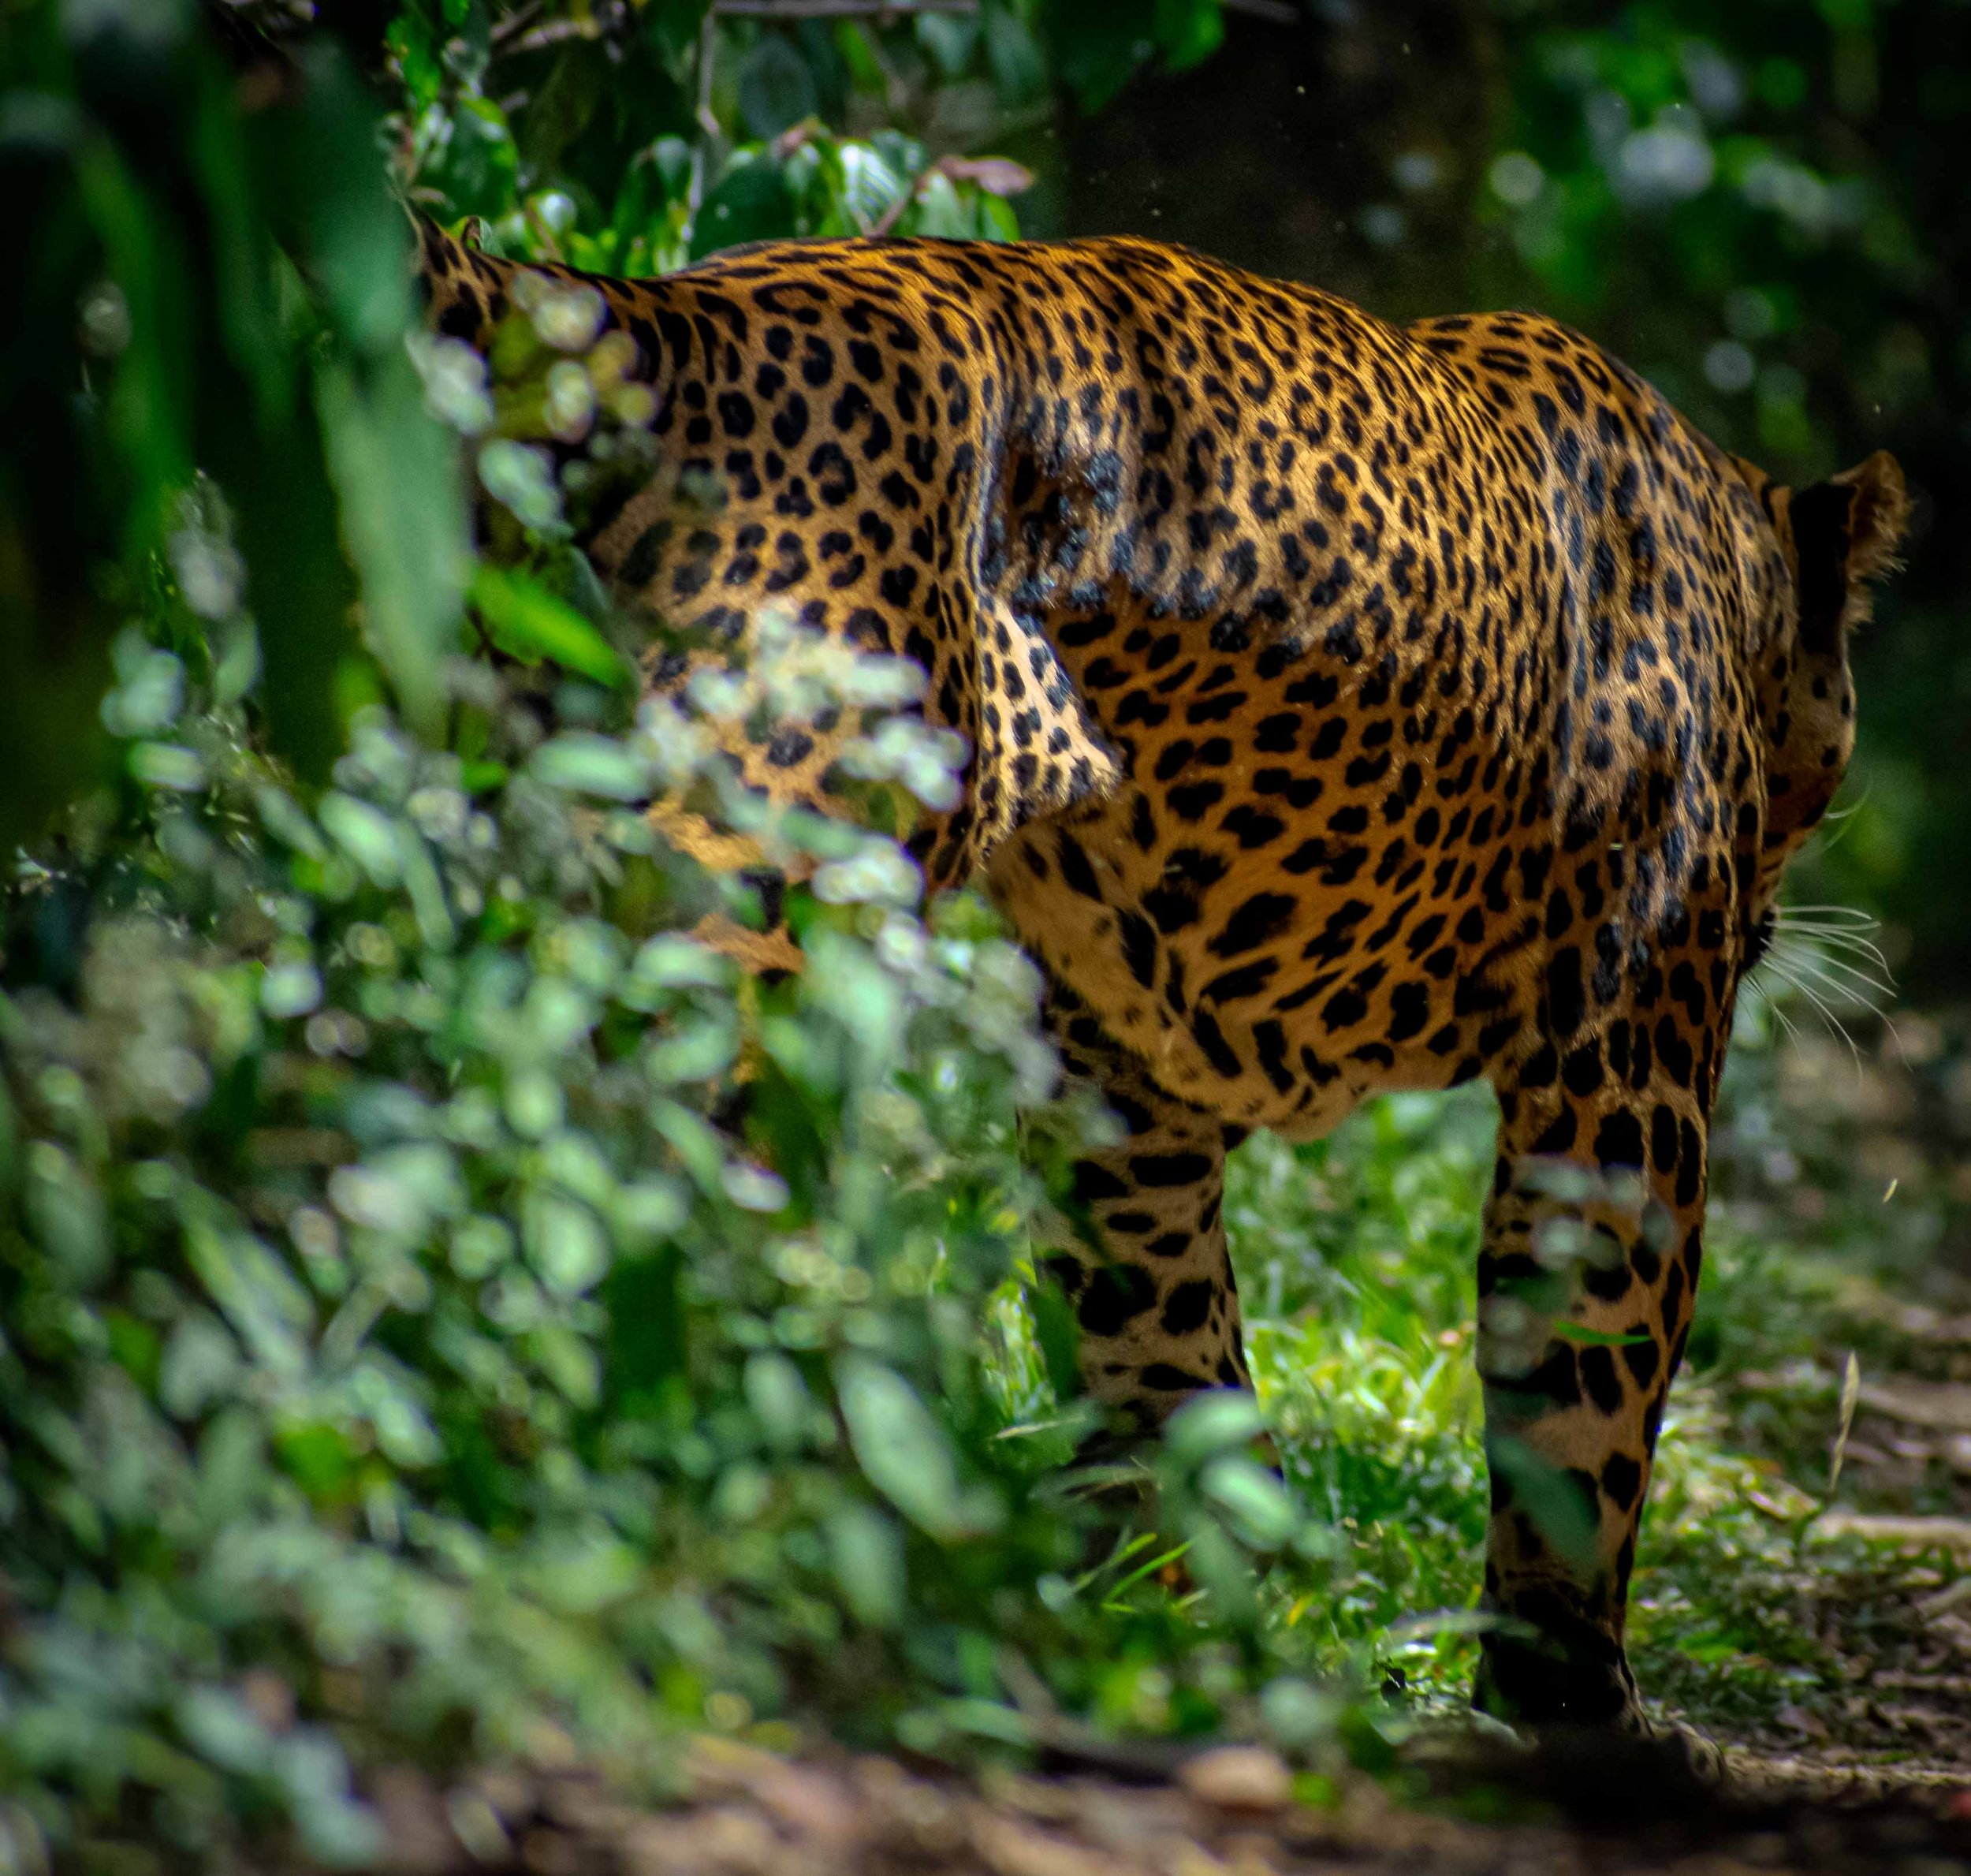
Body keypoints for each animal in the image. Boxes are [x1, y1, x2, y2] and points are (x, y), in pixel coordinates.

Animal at [416, 215, 1908, 1732]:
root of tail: (664, 318)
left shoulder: (1122, 1067)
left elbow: (1158, 1329)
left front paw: (1166, 1610)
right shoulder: (1629, 1057)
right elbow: (1588, 1391)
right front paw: (1574, 1691)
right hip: (756, 875)